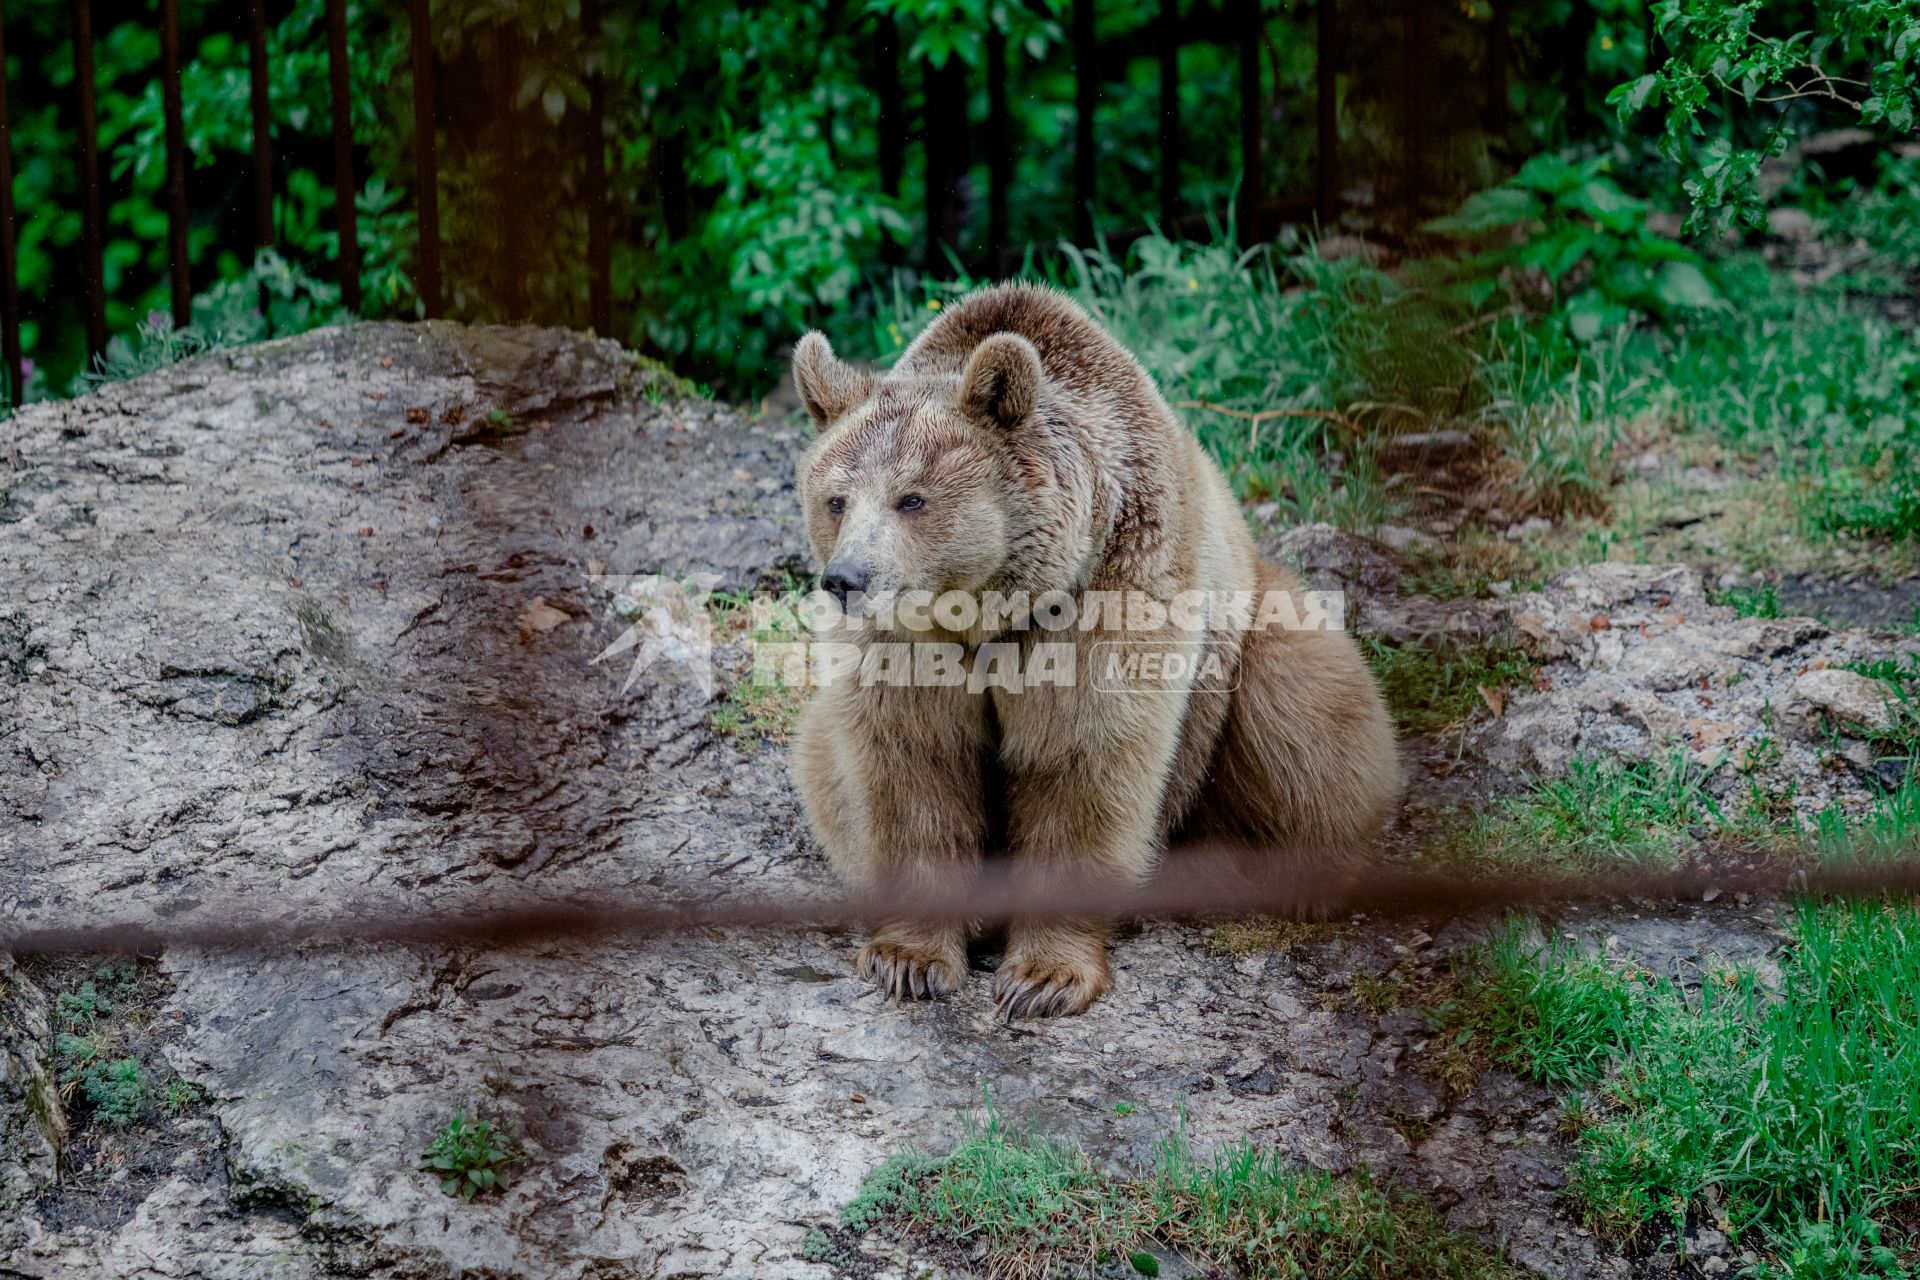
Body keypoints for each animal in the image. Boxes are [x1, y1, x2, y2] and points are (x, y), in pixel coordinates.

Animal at [787, 285, 1405, 1013]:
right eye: (836, 499)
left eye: (912, 498)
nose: (846, 578)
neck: (988, 610)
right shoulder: (903, 650)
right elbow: (914, 767)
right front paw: (908, 959)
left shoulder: (1111, 594)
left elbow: (1084, 761)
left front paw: (1044, 977)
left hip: (1245, 640)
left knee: (1308, 708)